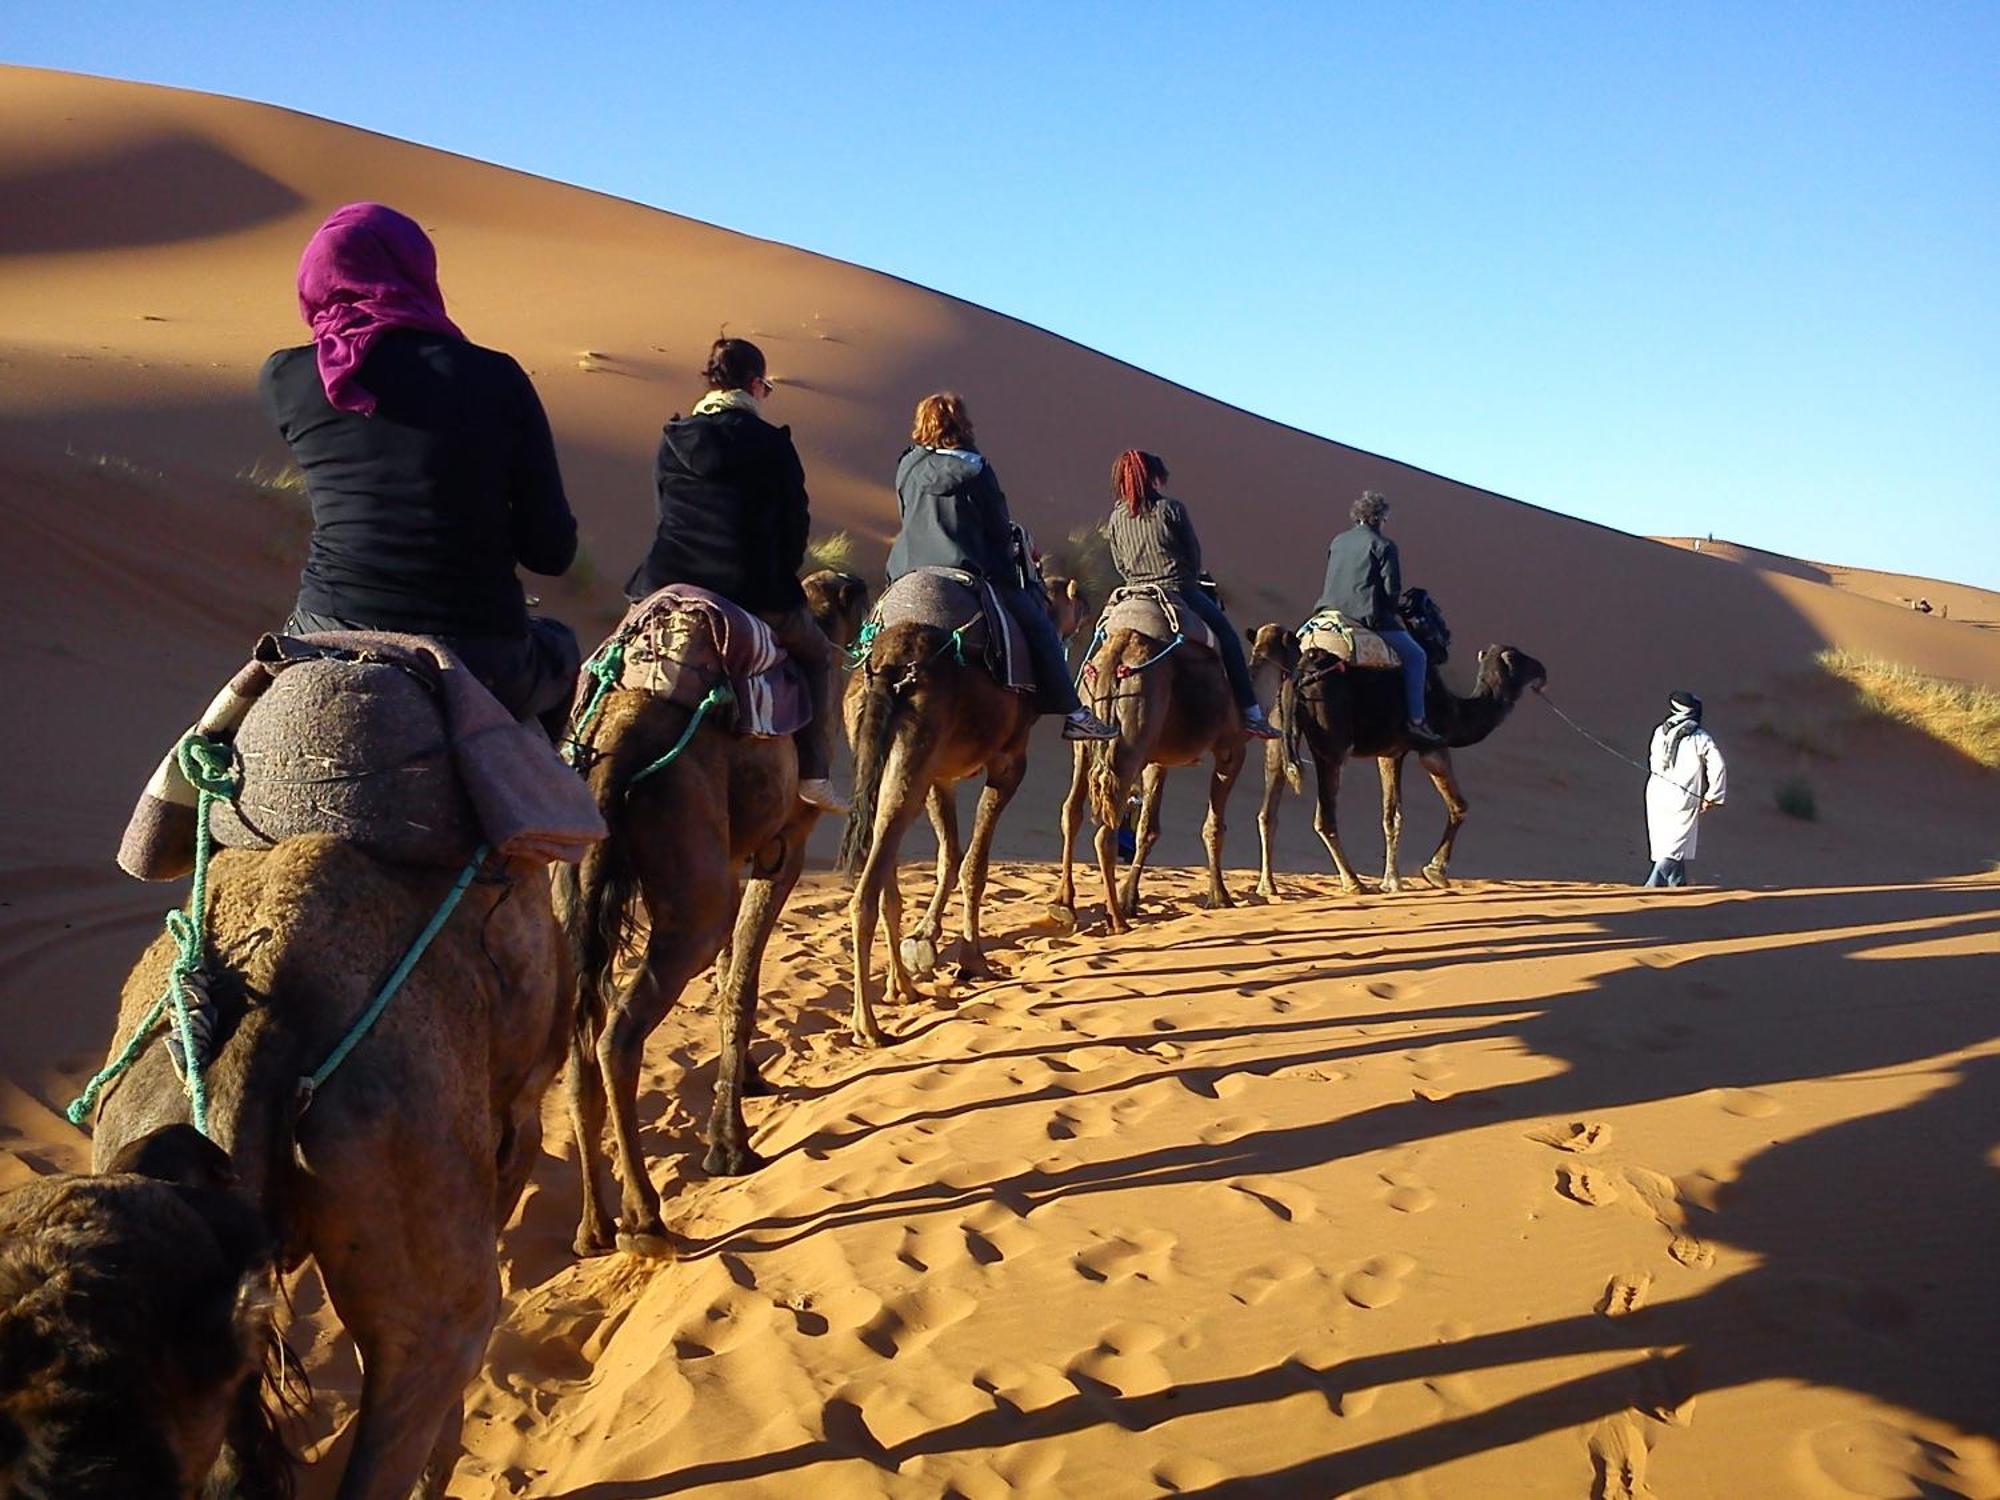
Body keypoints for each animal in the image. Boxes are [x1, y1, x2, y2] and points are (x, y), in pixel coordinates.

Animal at [564, 568, 876, 1256]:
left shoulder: (733, 854)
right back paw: (645, 1222)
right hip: (688, 882)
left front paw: (750, 1083)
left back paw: (593, 1227)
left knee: (578, 1043)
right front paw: (729, 1146)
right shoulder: (781, 848)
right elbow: (742, 980)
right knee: (619, 1034)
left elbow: (733, 969)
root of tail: (613, 744)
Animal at [836, 572, 1088, 1048]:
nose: (1083, 610)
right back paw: (868, 1027)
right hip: (914, 756)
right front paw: (972, 958)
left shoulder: (941, 776)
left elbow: (949, 856)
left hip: (884, 760)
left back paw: (901, 987)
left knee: (884, 876)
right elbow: (975, 864)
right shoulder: (1009, 762)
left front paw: (925, 941)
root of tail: (889, 662)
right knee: (866, 893)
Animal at [1048, 616, 1296, 936]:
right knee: (1105, 832)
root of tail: (1116, 654)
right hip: (1131, 740)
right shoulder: (1230, 750)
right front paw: (1220, 898)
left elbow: (1147, 829)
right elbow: (1214, 826)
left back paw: (1063, 904)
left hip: (1087, 737)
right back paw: (1117, 921)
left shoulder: (1157, 761)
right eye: (1296, 644)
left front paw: (1131, 899)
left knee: (1071, 811)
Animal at [1264, 636, 1544, 892]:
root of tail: (1298, 676)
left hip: (1279, 733)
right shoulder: (1432, 748)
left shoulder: (1390, 753)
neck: (1455, 710)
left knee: (1269, 810)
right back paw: (1353, 883)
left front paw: (1392, 882)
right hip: (1331, 748)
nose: (1542, 670)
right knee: (1325, 818)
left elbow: (1392, 816)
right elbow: (1459, 806)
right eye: (1518, 658)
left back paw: (1267, 887)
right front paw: (1435, 872)